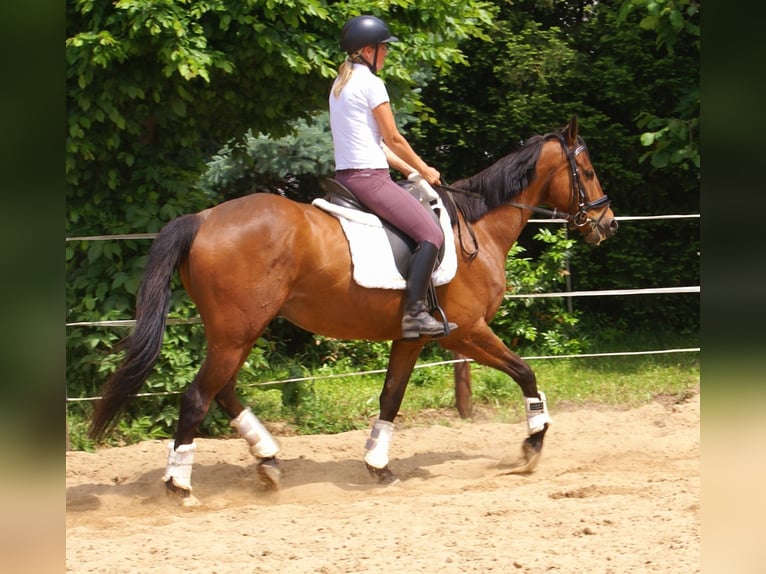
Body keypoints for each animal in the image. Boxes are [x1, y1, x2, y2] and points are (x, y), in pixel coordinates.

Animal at [89, 116, 617, 499]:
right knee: (198, 397)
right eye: (588, 171)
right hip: (238, 331)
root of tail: (202, 219)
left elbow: (390, 397)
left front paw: (378, 466)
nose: (607, 223)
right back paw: (180, 485)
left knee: (223, 391)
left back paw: (268, 460)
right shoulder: (466, 331)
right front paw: (534, 442)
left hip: (237, 330)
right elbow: (525, 372)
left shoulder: (413, 337)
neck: (476, 228)